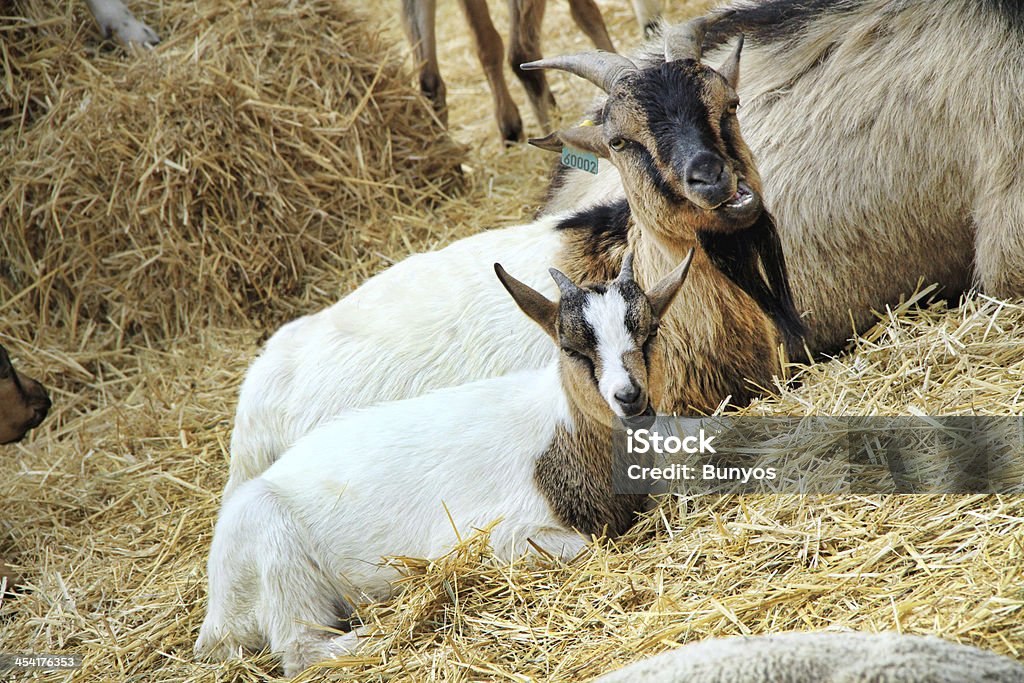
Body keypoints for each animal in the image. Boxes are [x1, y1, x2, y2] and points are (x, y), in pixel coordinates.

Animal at [197, 252, 696, 679]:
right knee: (301, 649)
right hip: (275, 552)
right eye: (572, 349)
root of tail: (215, 619)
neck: (562, 438)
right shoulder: (493, 536)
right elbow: (588, 546)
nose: (630, 398)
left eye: (649, 333)